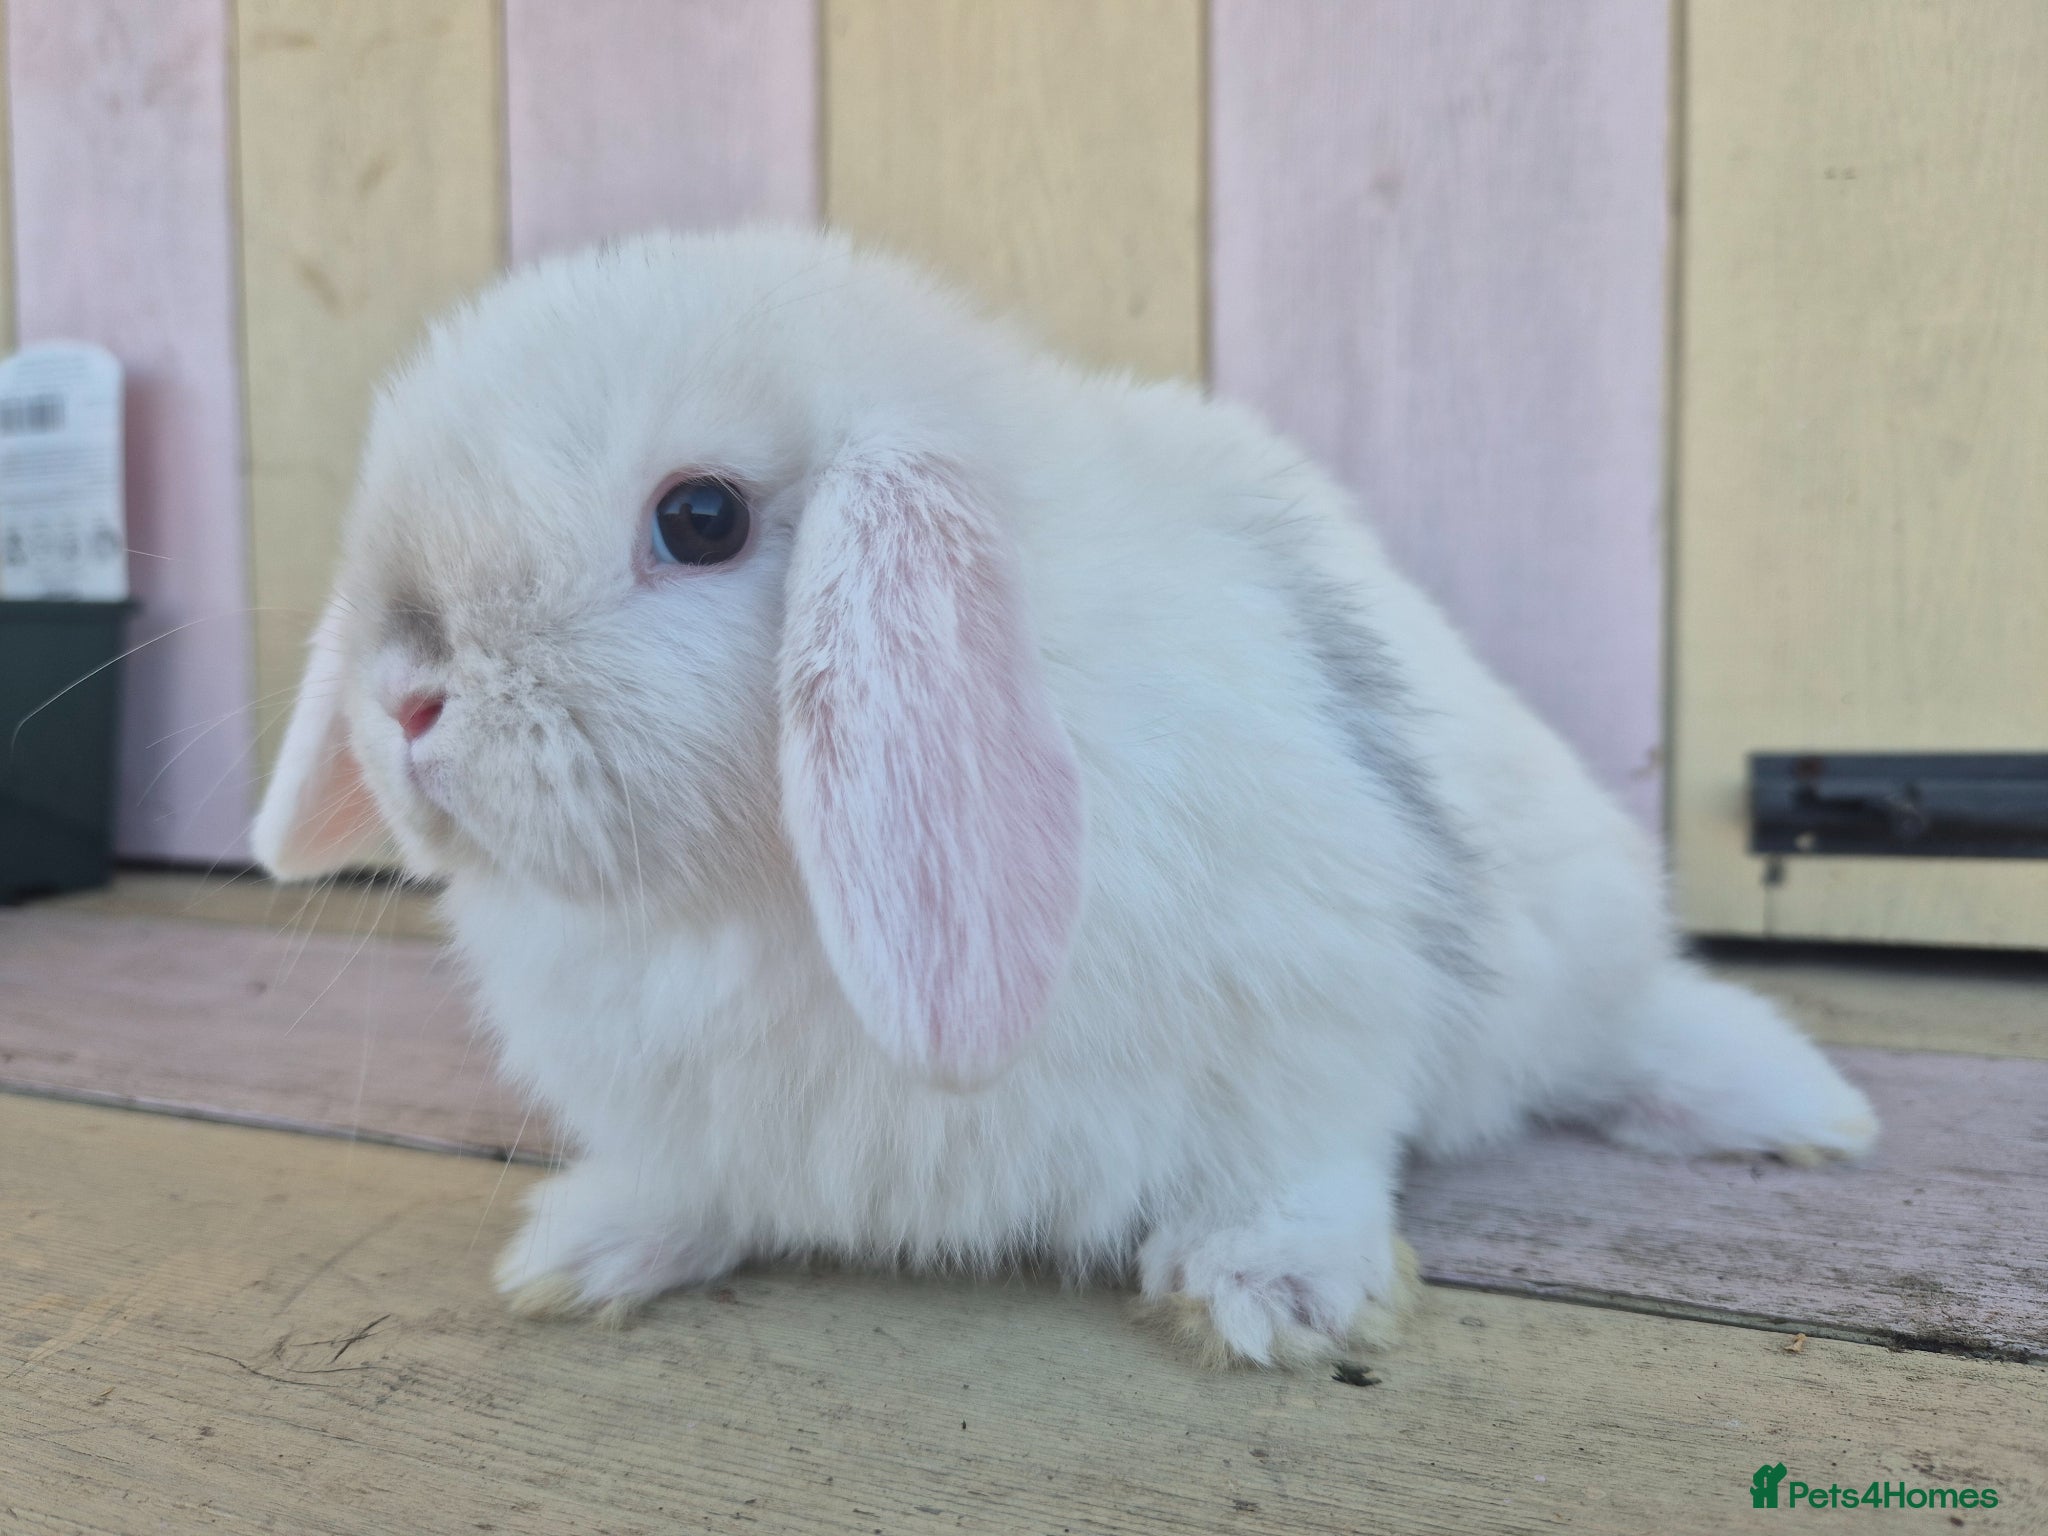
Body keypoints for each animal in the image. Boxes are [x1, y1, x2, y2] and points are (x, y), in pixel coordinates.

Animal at [253, 226, 1876, 1367]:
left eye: (699, 517)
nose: (404, 697)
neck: (755, 901)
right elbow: (690, 1183)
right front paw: (589, 1249)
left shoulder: (1317, 1000)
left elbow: (1308, 1146)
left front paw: (1271, 1292)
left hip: (1568, 943)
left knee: (1626, 1034)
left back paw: (1792, 1112)